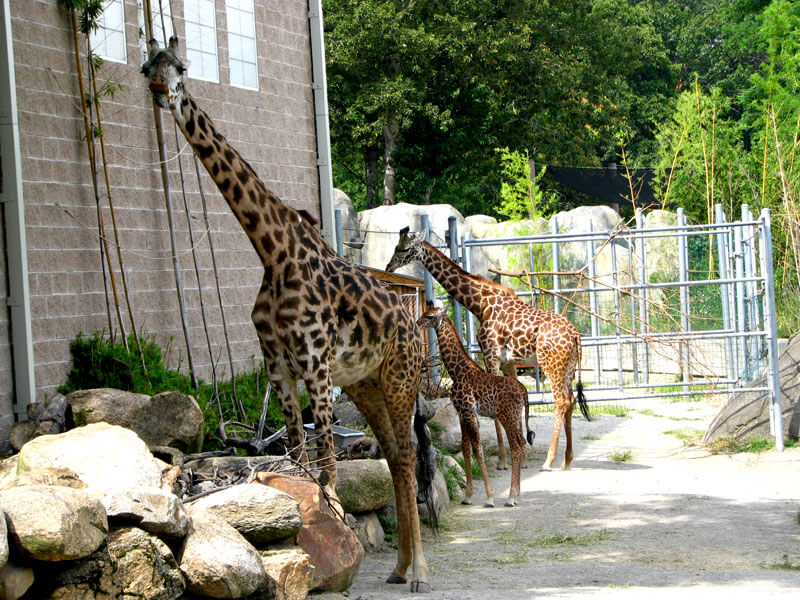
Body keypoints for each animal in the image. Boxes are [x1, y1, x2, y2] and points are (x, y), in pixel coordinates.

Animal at [142, 39, 432, 592]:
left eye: (183, 67)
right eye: (147, 65)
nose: (162, 90)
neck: (272, 251)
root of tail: (413, 320)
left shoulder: (314, 361)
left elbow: (327, 470)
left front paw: (335, 562)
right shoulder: (277, 362)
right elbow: (297, 460)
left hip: (400, 376)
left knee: (406, 455)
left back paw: (421, 573)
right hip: (365, 385)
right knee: (393, 456)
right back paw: (400, 567)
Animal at [388, 227, 588, 472]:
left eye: (404, 248)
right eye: (396, 246)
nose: (389, 266)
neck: (479, 302)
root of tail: (576, 335)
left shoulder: (490, 354)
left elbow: (494, 415)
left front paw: (502, 460)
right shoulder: (509, 361)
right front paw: (519, 459)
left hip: (551, 365)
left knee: (561, 401)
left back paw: (550, 460)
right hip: (568, 368)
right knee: (570, 399)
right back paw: (567, 459)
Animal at [418, 304, 532, 506]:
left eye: (430, 316)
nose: (417, 323)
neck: (457, 371)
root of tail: (524, 392)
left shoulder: (469, 411)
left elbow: (478, 449)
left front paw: (490, 497)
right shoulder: (461, 413)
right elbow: (466, 449)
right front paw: (468, 496)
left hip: (507, 415)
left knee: (516, 445)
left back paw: (511, 496)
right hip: (515, 416)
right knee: (522, 441)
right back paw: (516, 494)